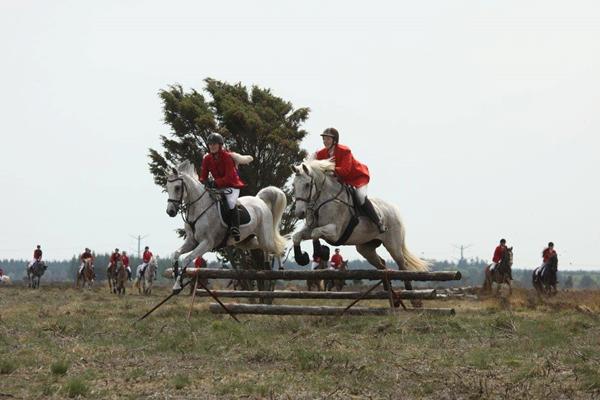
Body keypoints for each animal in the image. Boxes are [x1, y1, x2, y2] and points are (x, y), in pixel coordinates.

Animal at [290, 159, 426, 306]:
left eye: (307, 185)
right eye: (293, 185)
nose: (300, 213)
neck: (325, 200)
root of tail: (394, 209)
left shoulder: (334, 232)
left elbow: (316, 233)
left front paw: (318, 252)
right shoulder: (310, 229)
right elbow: (297, 236)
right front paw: (301, 258)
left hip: (393, 246)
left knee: (402, 266)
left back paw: (413, 299)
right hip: (365, 248)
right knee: (382, 264)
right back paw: (392, 297)